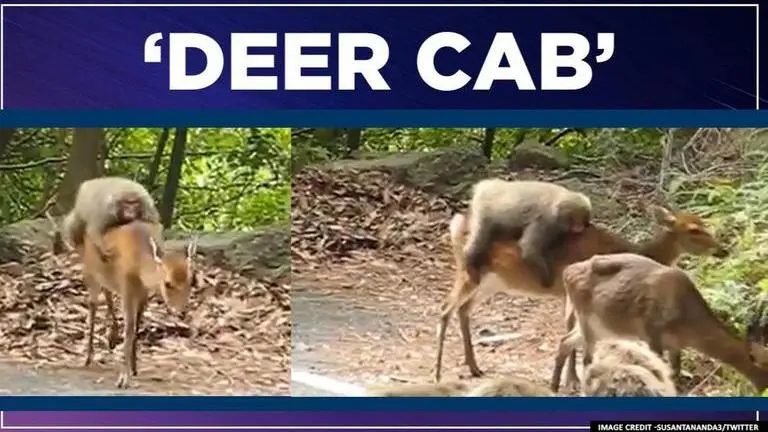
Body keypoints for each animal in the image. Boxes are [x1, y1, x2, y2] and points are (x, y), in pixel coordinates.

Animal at [435, 204, 729, 387]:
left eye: (703, 223)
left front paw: (571, 378)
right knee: (445, 309)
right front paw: (573, 379)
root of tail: (456, 225)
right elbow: (571, 330)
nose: (722, 250)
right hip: (468, 272)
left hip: (492, 281)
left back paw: (474, 367)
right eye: (693, 229)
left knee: (463, 309)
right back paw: (437, 373)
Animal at [464, 179, 592, 288]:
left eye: (582, 218)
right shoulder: (545, 221)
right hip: (483, 208)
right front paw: (546, 276)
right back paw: (469, 259)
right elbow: (528, 247)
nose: (579, 227)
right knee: (481, 234)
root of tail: (486, 184)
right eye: (573, 219)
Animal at [551, 253, 768, 394]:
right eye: (765, 368)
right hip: (586, 317)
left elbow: (674, 371)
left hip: (601, 325)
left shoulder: (674, 343)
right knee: (586, 359)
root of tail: (566, 271)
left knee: (566, 341)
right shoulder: (651, 331)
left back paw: (554, 386)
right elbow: (656, 368)